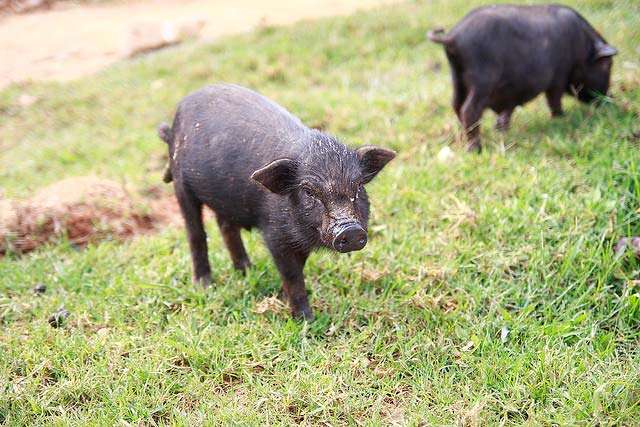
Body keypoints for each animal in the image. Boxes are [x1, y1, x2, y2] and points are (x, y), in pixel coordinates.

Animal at [158, 84, 395, 320]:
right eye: (308, 191)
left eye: (358, 186)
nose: (351, 230)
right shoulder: (275, 235)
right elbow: (292, 275)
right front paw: (305, 319)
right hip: (181, 185)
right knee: (195, 233)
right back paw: (204, 285)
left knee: (225, 226)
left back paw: (247, 270)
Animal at [427, 4, 618, 151]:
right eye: (608, 66)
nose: (610, 100)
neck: (583, 47)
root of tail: (453, 37)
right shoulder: (558, 77)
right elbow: (554, 100)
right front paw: (560, 118)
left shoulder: (512, 94)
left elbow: (508, 111)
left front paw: (502, 129)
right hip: (482, 80)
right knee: (469, 110)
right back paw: (476, 149)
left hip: (457, 80)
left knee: (456, 105)